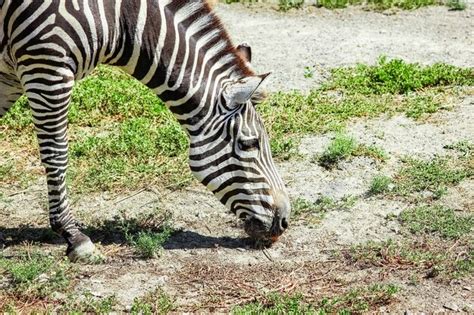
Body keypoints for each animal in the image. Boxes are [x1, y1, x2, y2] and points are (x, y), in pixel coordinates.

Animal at [0, 0, 290, 262]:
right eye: (249, 144)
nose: (284, 221)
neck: (119, 19)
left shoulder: (12, 74)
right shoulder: (47, 67)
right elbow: (57, 155)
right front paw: (73, 236)